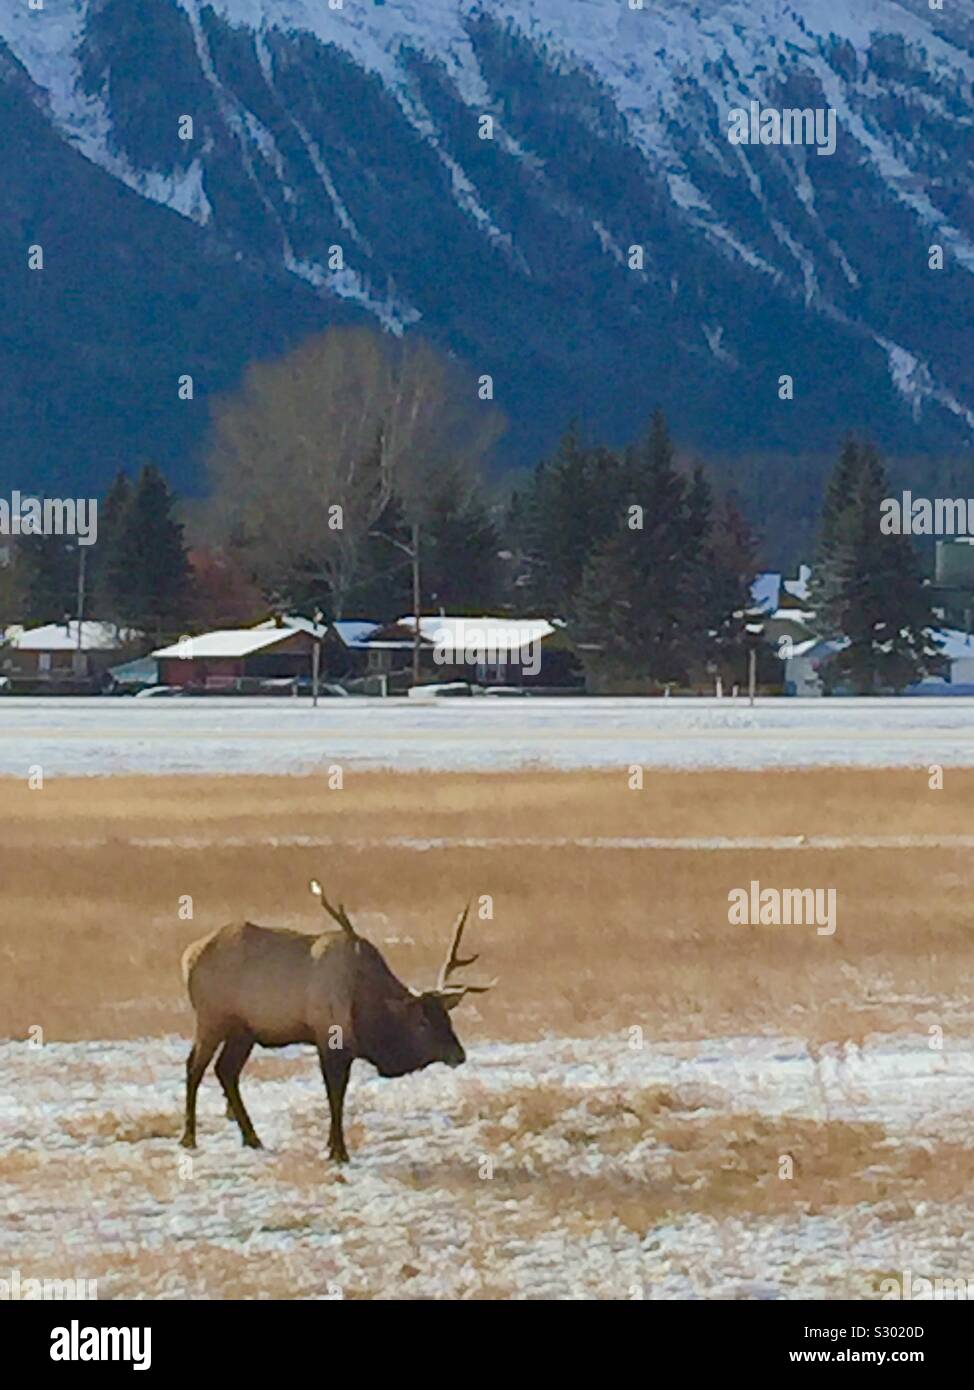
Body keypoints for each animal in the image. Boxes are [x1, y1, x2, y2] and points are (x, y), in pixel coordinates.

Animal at [179, 878, 494, 1162]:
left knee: (225, 1070)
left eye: (447, 1017)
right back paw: (189, 1138)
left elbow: (338, 1093)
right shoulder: (329, 1038)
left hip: (243, 1030)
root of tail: (187, 956)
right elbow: (335, 1094)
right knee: (195, 1066)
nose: (459, 1054)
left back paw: (252, 1138)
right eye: (422, 1022)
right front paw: (339, 1152)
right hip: (211, 1017)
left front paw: (331, 1145)